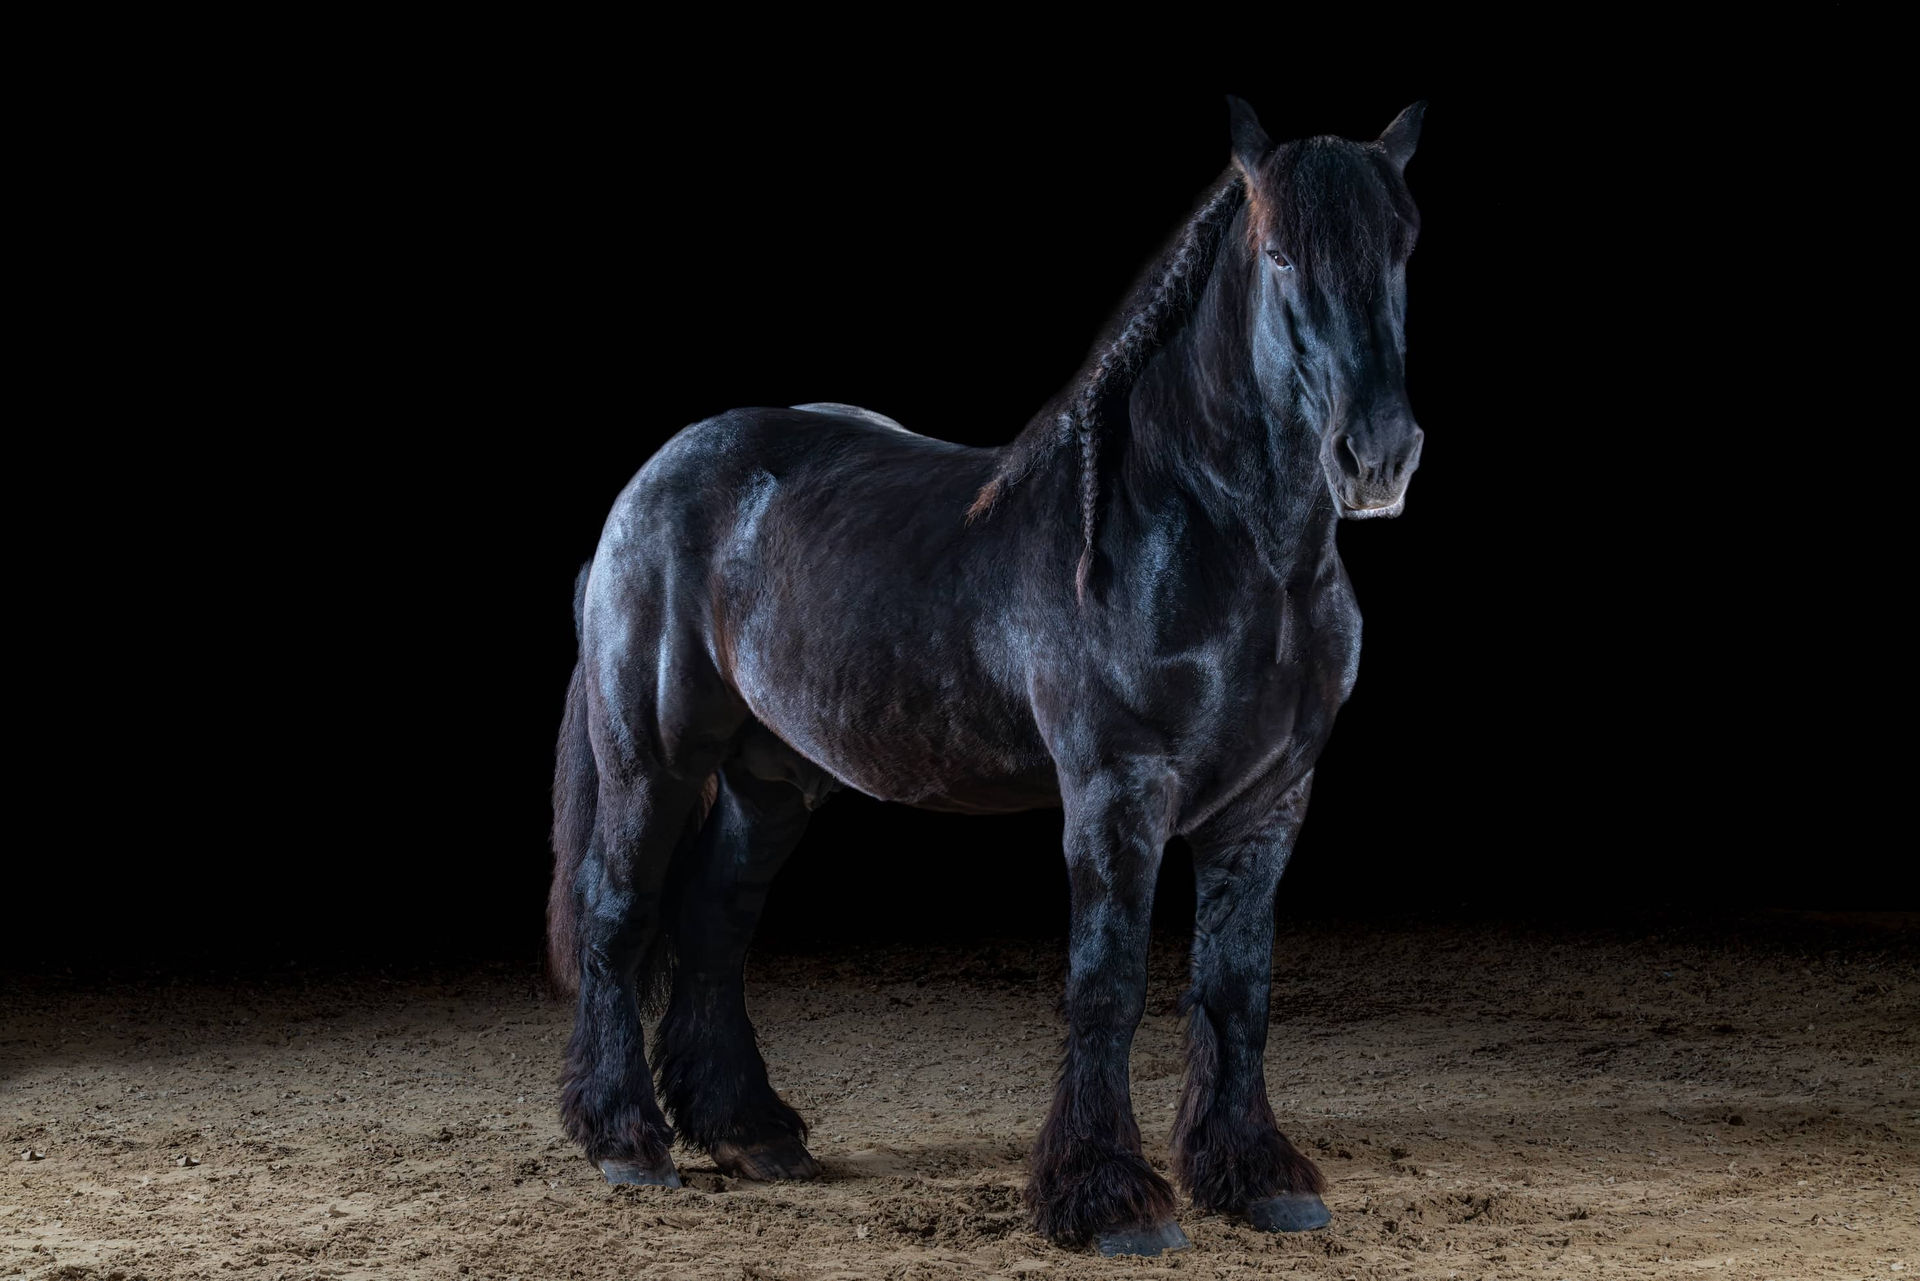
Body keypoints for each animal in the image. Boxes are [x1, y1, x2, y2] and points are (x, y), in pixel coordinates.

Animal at [546, 95, 1427, 1257]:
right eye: (1280, 253)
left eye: (1403, 251)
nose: (1378, 459)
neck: (1212, 539)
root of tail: (645, 486)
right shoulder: (1116, 793)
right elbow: (1106, 985)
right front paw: (1109, 1197)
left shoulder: (1271, 802)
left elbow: (1239, 988)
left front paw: (1258, 1178)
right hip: (653, 756)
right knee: (617, 912)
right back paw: (626, 1144)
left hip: (769, 776)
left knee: (713, 923)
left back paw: (753, 1135)